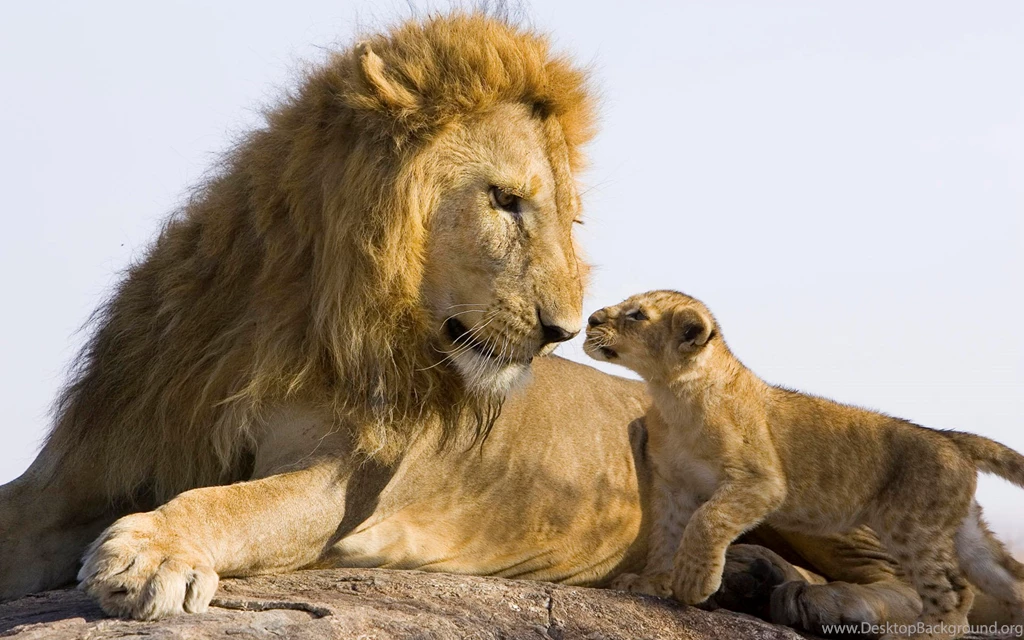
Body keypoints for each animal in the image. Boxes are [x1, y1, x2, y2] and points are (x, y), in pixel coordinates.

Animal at [0, 11, 1012, 631]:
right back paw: (752, 581)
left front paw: (150, 551)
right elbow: (22, 516)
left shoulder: (343, 480)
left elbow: (234, 502)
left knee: (944, 584)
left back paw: (831, 602)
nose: (565, 329)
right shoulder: (86, 463)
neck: (287, 313)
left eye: (570, 219)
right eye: (504, 201)